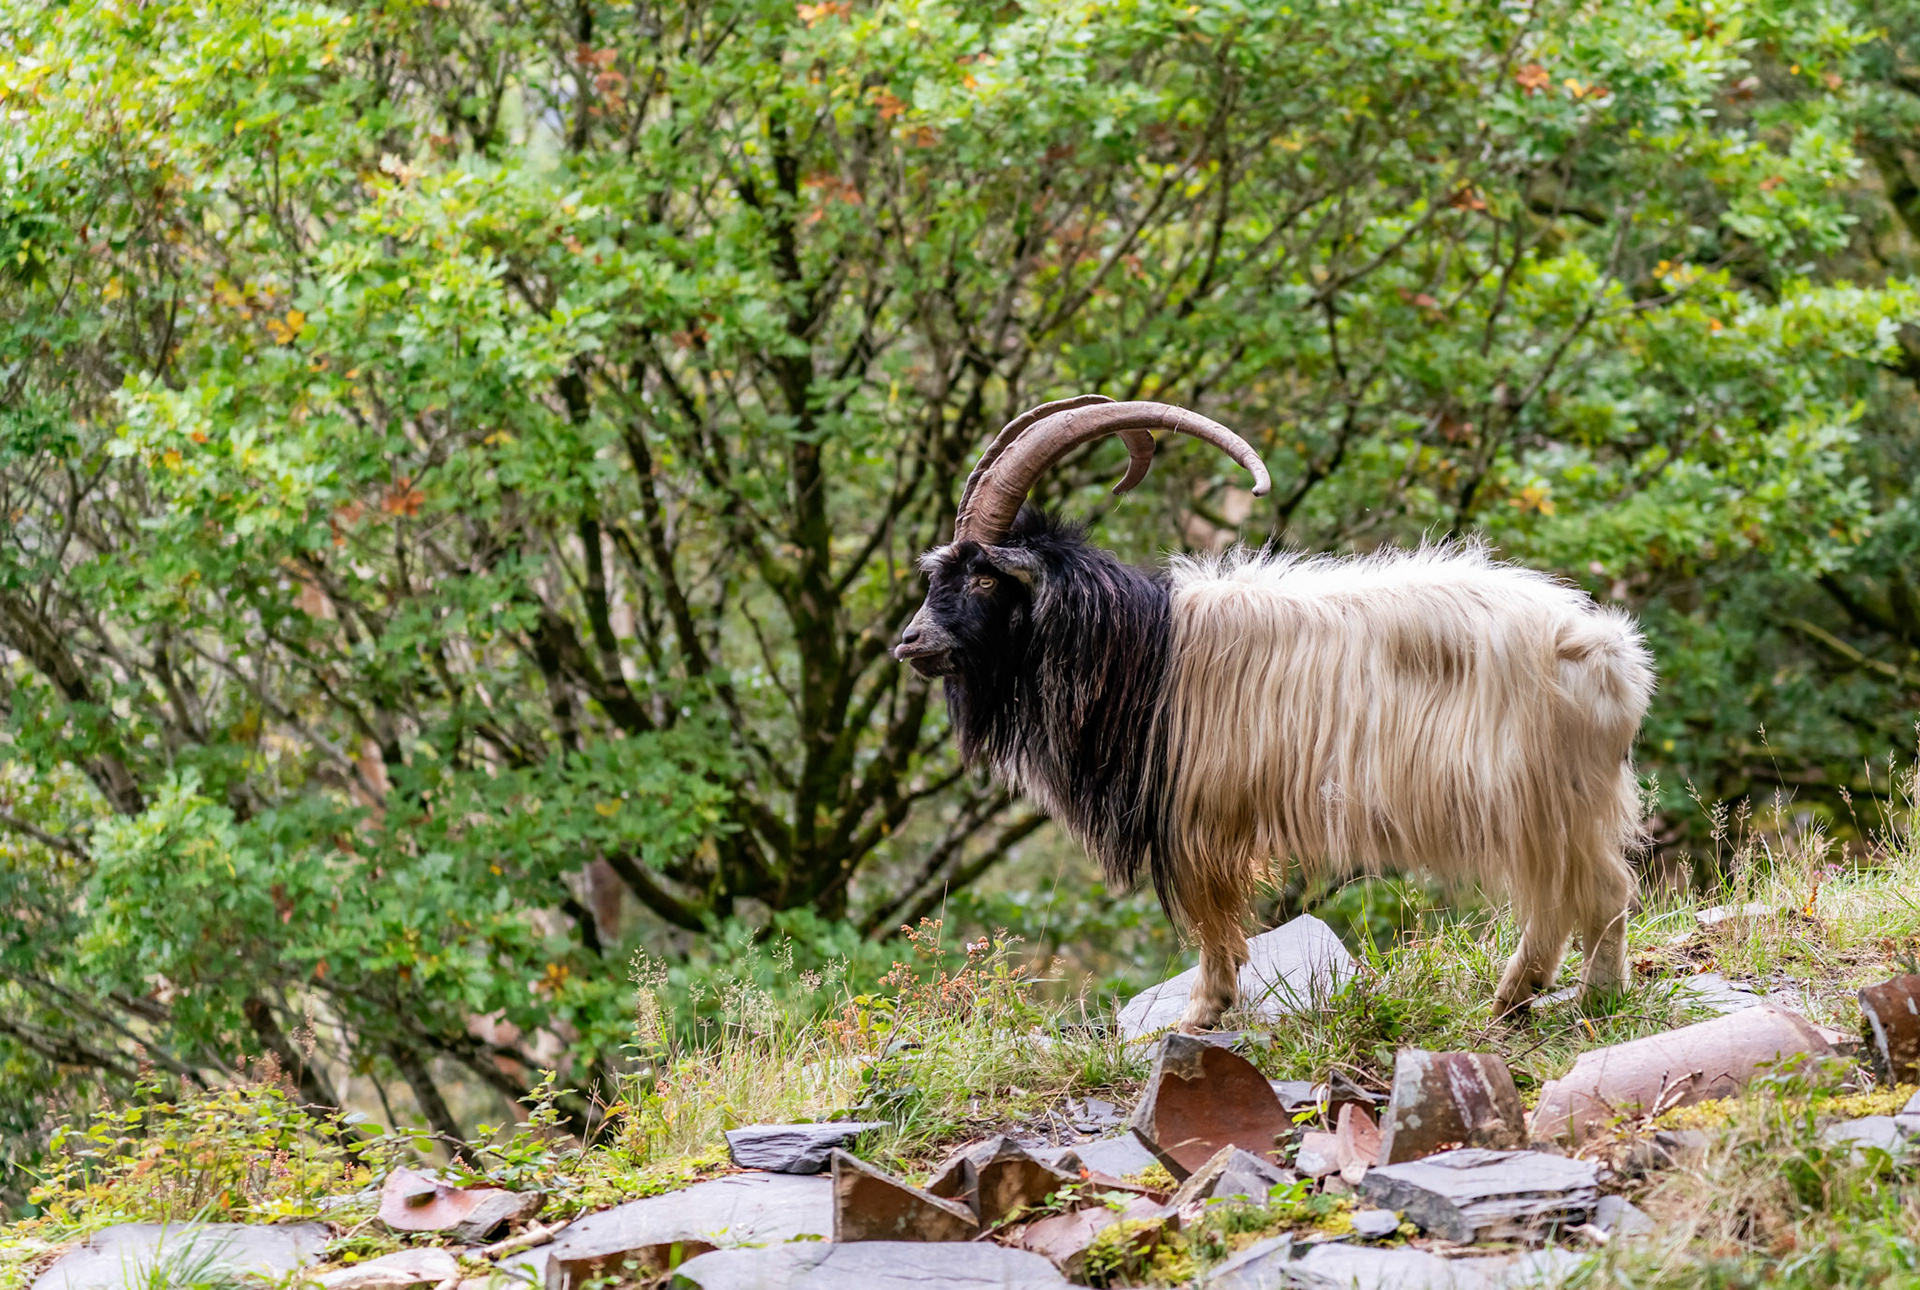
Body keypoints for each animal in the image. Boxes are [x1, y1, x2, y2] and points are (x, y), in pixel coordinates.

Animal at [894, 396, 1655, 1031]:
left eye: (984, 577)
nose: (909, 643)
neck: (1145, 652)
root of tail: (1612, 655)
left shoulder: (1198, 818)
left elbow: (1210, 920)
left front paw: (1202, 1011)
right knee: (1567, 899)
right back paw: (1522, 999)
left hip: (1544, 799)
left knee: (1598, 891)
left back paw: (1586, 999)